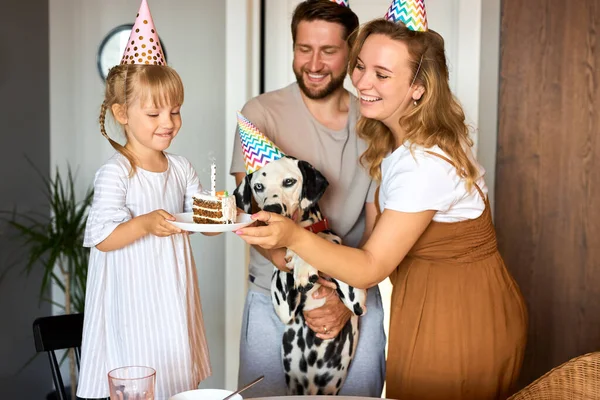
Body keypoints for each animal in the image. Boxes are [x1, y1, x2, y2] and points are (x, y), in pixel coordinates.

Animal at [233, 155, 366, 394]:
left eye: (288, 182)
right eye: (258, 186)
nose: (273, 208)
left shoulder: (355, 301)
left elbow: (325, 241)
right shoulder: (284, 306)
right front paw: (298, 261)